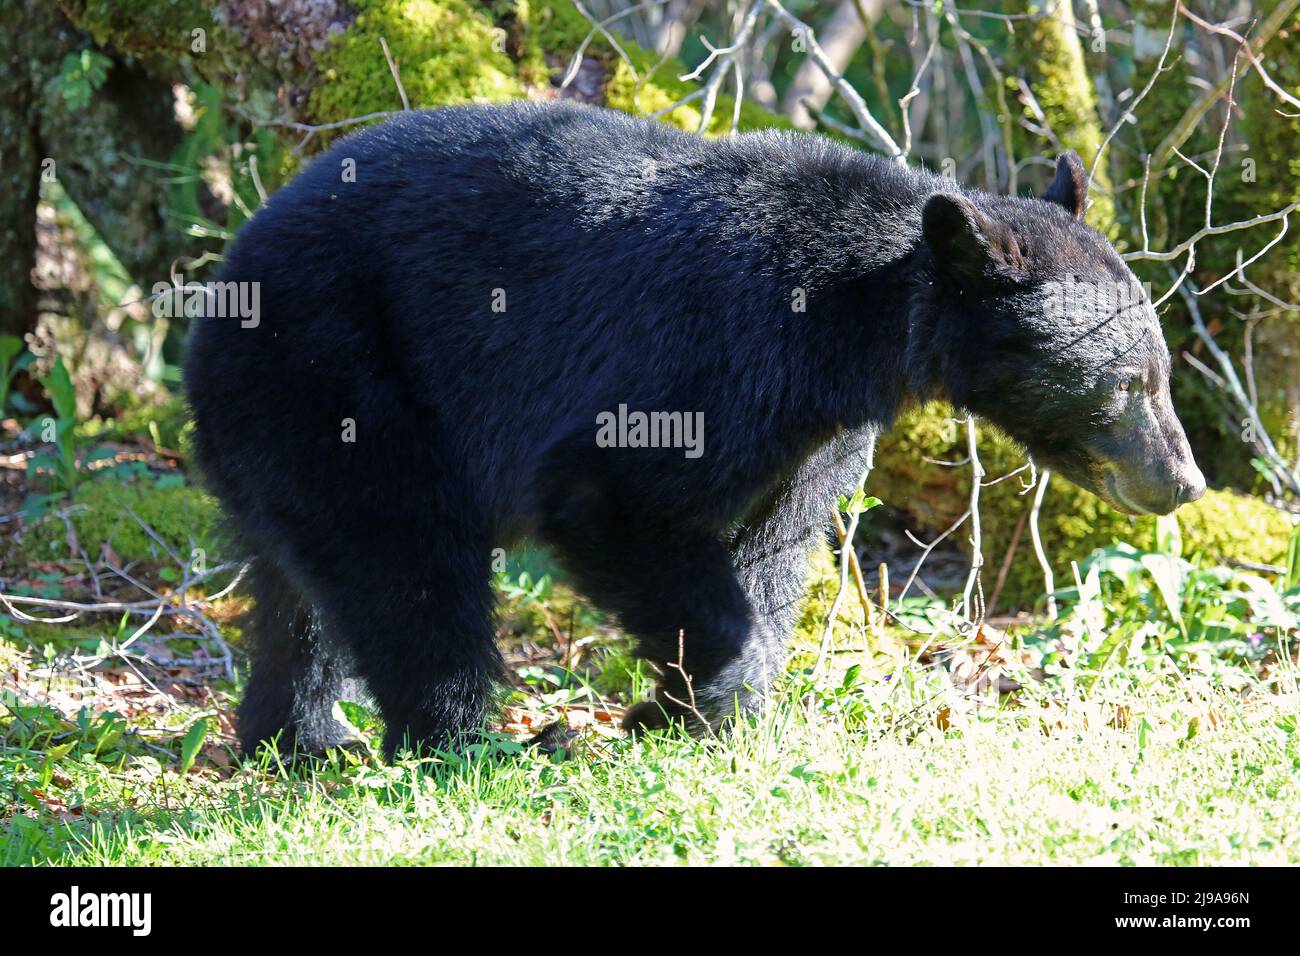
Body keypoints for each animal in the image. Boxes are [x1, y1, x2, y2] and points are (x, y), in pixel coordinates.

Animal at [184, 101, 1205, 758]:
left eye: (1159, 372)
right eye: (1128, 384)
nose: (1183, 481)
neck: (854, 319)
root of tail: (223, 282)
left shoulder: (818, 431)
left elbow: (776, 542)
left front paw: (704, 711)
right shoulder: (714, 351)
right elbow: (612, 494)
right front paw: (695, 700)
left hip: (285, 423)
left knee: (304, 589)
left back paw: (299, 735)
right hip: (348, 378)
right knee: (406, 566)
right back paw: (473, 740)